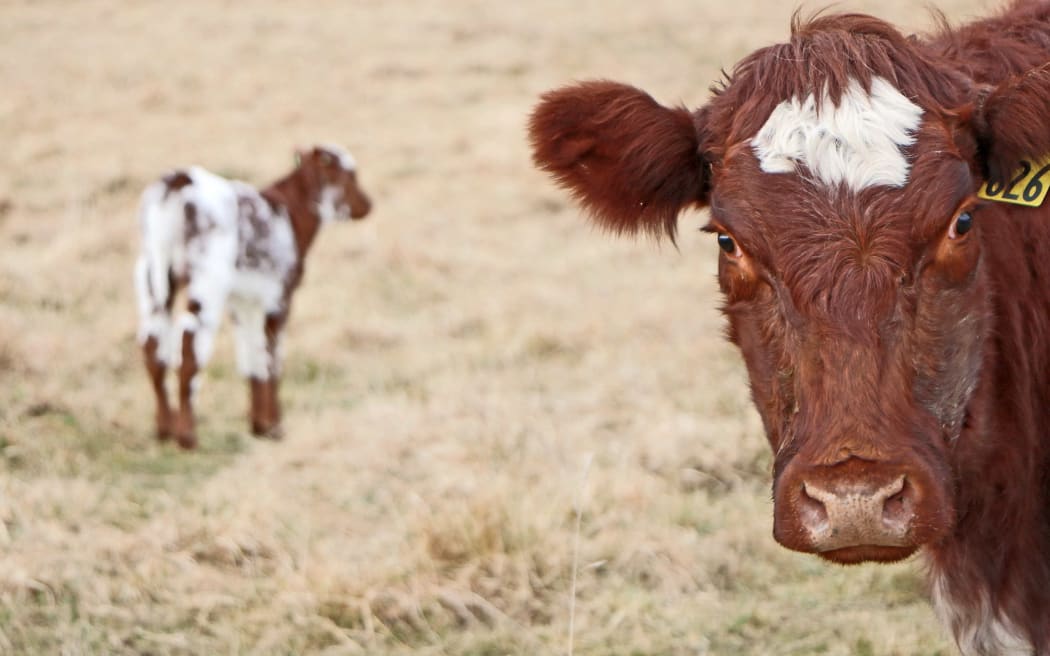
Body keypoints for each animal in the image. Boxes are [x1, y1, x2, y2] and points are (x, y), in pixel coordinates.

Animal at [134, 145, 372, 450]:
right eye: (350, 175)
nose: (367, 204)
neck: (290, 213)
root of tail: (180, 180)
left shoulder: (244, 302)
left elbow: (251, 357)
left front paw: (259, 426)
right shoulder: (279, 299)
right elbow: (272, 359)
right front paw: (275, 426)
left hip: (152, 277)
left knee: (153, 347)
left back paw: (164, 429)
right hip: (206, 283)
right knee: (188, 350)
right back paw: (187, 436)